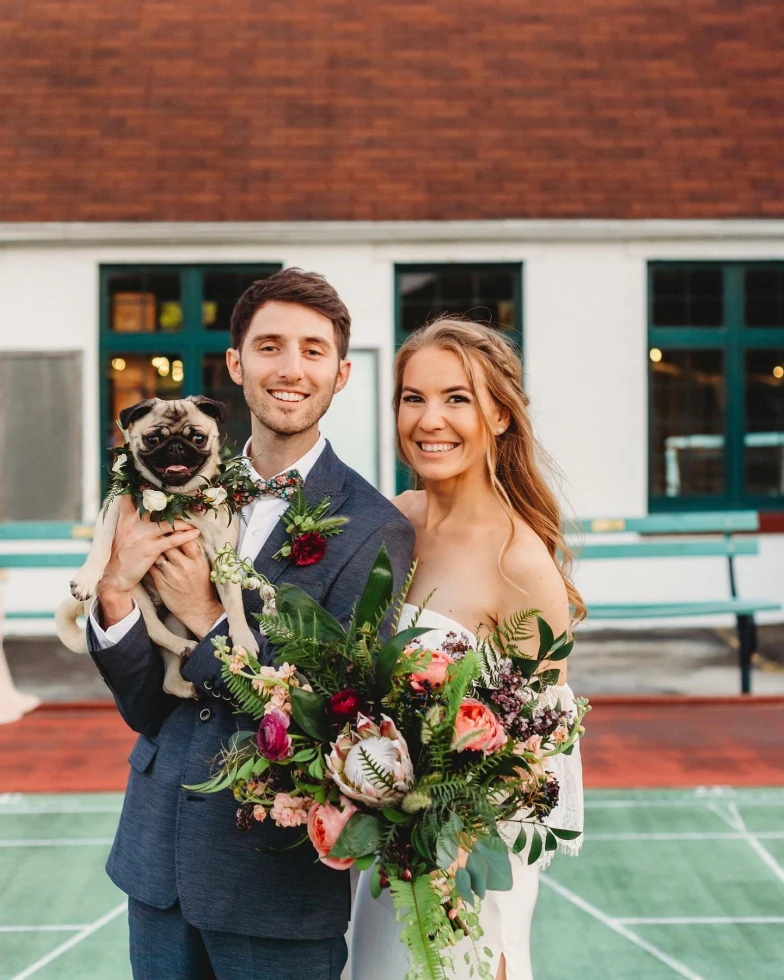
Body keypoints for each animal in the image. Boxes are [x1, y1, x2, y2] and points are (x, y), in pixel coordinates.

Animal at [59, 394, 260, 700]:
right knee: (151, 628)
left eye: (198, 438)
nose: (176, 446)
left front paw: (244, 640)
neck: (176, 501)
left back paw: (182, 667)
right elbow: (101, 546)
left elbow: (234, 604)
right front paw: (86, 578)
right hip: (135, 595)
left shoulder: (222, 554)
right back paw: (181, 647)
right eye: (153, 439)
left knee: (167, 674)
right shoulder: (112, 510)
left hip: (175, 615)